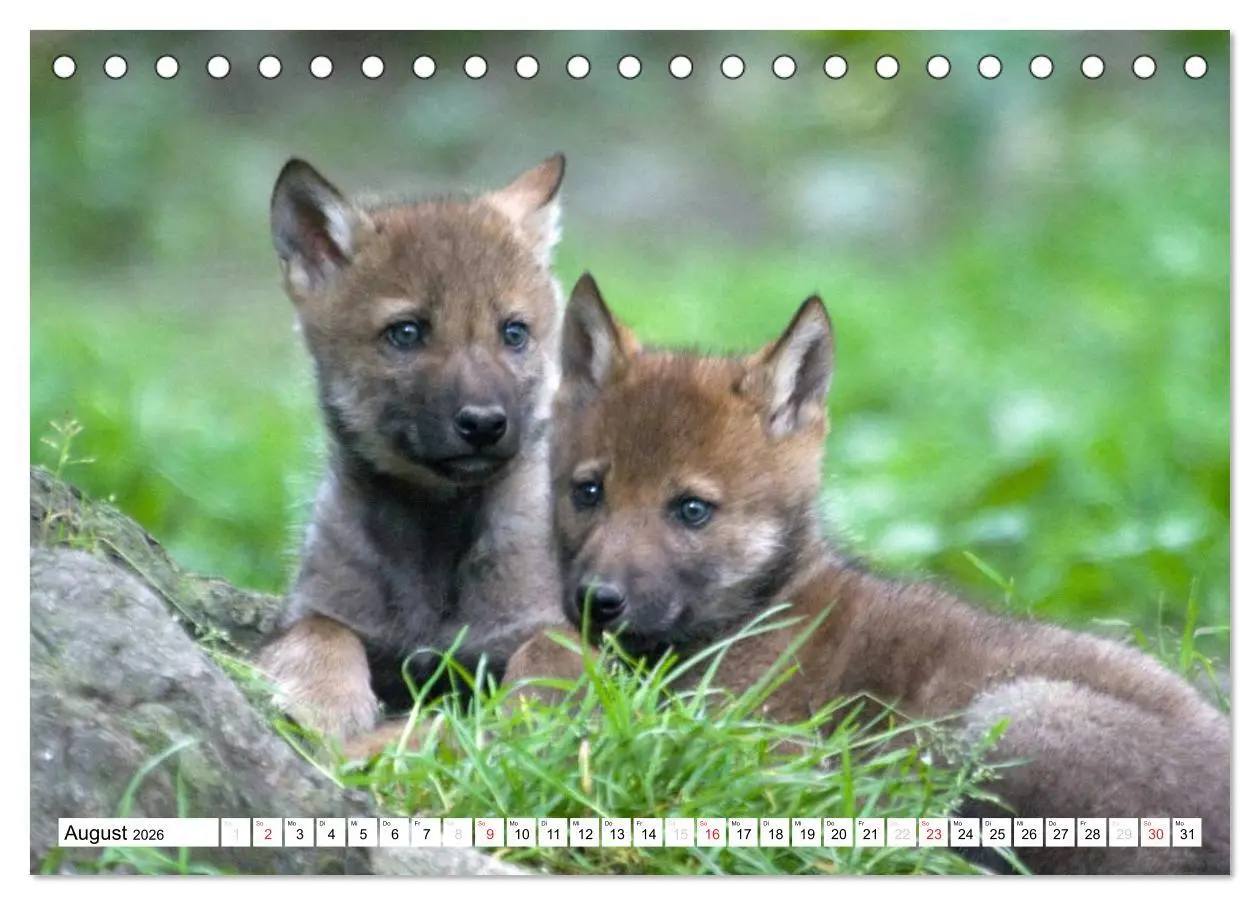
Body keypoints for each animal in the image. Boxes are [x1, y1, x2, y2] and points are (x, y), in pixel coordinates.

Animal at [257, 155, 568, 751]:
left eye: (514, 332)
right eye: (406, 332)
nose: (484, 423)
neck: (435, 529)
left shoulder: (557, 628)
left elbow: (545, 663)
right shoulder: (322, 610)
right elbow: (320, 633)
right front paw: (323, 703)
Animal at [505, 272, 1230, 874]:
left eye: (691, 509)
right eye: (588, 491)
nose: (597, 599)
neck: (763, 609)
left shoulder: (756, 740)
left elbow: (548, 652)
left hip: (1012, 713)